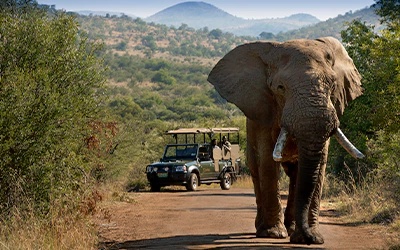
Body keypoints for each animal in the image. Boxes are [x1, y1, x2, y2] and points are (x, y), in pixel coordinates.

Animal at [208, 37, 364, 244]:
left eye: (332, 86)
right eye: (280, 88)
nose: (310, 238)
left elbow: (320, 165)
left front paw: (312, 237)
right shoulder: (263, 111)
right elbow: (267, 162)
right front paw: (274, 234)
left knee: (296, 173)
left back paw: (291, 229)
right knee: (257, 169)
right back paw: (264, 229)